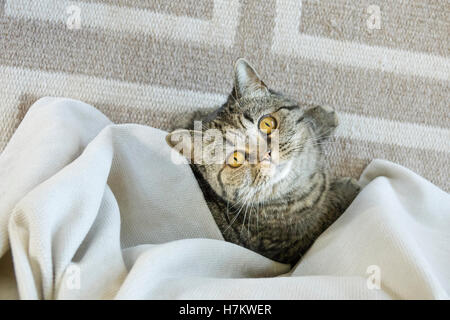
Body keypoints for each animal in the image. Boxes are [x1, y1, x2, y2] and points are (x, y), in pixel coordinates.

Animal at [165, 58, 358, 264]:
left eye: (267, 123)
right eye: (235, 159)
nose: (267, 154)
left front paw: (320, 117)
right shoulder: (297, 242)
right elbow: (327, 210)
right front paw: (348, 189)